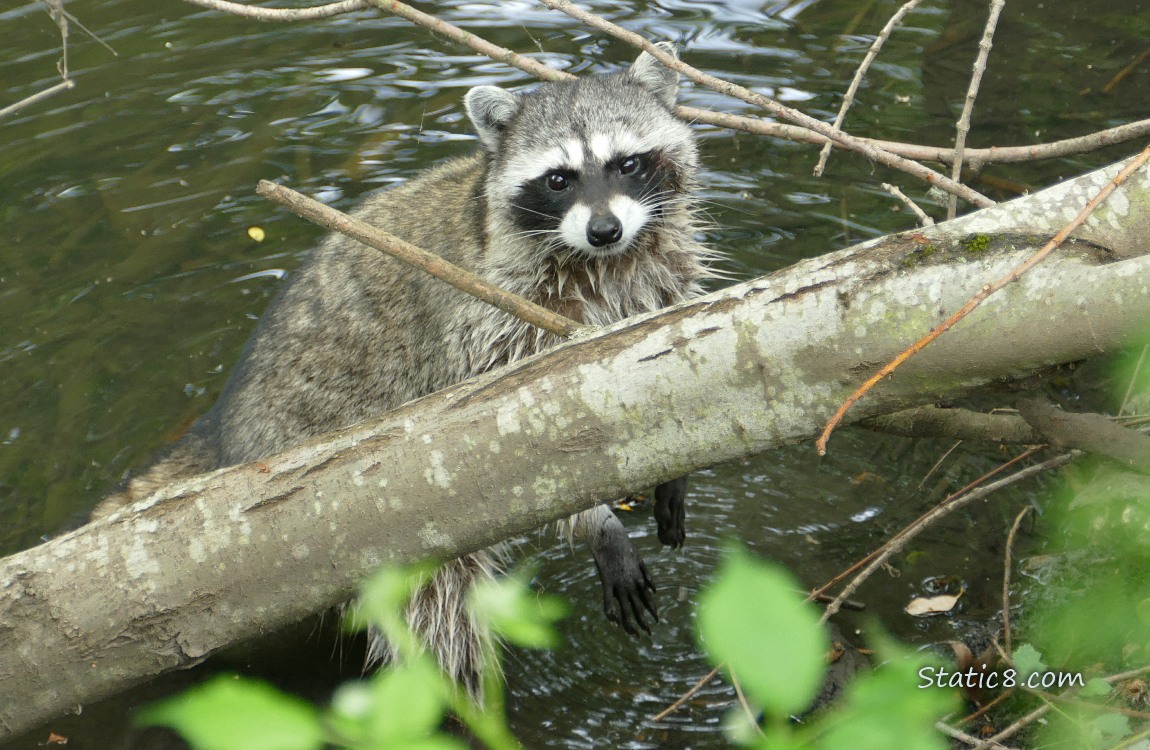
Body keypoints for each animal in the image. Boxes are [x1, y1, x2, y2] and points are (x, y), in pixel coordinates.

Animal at [93, 42, 716, 692]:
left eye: (627, 164)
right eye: (558, 179)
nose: (604, 230)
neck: (606, 263)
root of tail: (225, 434)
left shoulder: (655, 276)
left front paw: (676, 468)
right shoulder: (489, 317)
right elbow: (529, 440)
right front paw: (600, 525)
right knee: (443, 618)